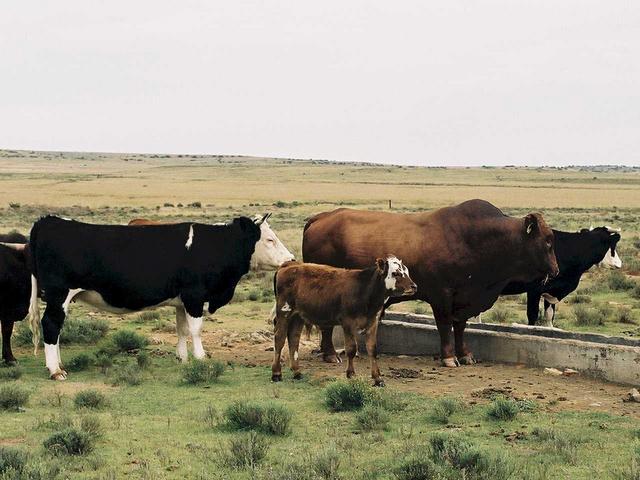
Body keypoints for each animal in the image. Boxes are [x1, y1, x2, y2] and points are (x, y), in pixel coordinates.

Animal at [26, 214, 292, 378]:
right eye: (270, 239)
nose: (290, 259)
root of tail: (48, 221)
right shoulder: (195, 296)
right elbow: (196, 330)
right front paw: (201, 358)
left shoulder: (181, 301)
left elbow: (182, 329)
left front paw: (182, 358)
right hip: (59, 295)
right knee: (51, 325)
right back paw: (55, 370)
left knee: (56, 328)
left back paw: (59, 364)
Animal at [268, 255, 416, 386]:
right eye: (395, 273)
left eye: (407, 272)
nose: (414, 286)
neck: (364, 289)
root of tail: (289, 264)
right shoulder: (348, 323)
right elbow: (351, 349)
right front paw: (351, 374)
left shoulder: (372, 323)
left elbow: (372, 350)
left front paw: (377, 378)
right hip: (284, 311)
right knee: (279, 339)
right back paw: (276, 373)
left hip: (298, 316)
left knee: (294, 339)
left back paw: (297, 372)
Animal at [302, 199, 556, 368]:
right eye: (547, 241)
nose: (556, 270)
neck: (474, 238)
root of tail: (322, 217)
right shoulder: (441, 295)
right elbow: (444, 325)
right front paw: (449, 357)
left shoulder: (464, 299)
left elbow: (460, 326)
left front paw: (464, 353)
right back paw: (330, 354)